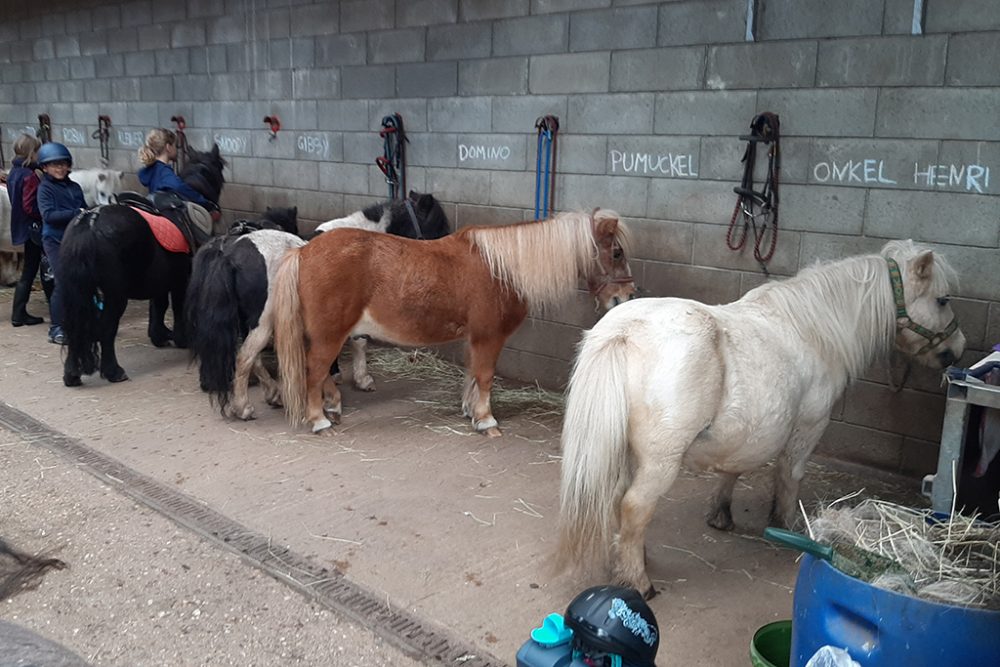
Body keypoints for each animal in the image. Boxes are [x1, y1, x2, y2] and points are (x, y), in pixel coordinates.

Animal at [60, 144, 229, 388]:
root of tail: (90, 221)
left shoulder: (161, 279)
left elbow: (158, 306)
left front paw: (160, 335)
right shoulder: (181, 281)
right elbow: (175, 307)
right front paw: (181, 338)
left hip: (77, 292)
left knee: (76, 327)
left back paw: (72, 374)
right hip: (115, 295)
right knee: (106, 328)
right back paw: (114, 371)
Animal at [274, 211, 632, 436]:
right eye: (616, 252)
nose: (625, 296)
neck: (502, 268)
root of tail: (304, 251)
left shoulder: (475, 338)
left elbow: (473, 373)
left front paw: (471, 411)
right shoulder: (489, 337)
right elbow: (485, 376)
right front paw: (486, 420)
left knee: (321, 372)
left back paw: (333, 406)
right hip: (329, 335)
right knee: (314, 371)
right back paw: (320, 420)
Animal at [560, 241, 964, 600]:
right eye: (942, 300)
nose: (956, 350)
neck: (811, 329)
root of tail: (625, 332)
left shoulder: (747, 430)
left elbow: (732, 468)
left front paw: (721, 515)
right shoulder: (808, 427)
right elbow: (789, 476)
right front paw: (789, 525)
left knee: (618, 502)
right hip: (660, 461)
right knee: (634, 506)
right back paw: (638, 580)